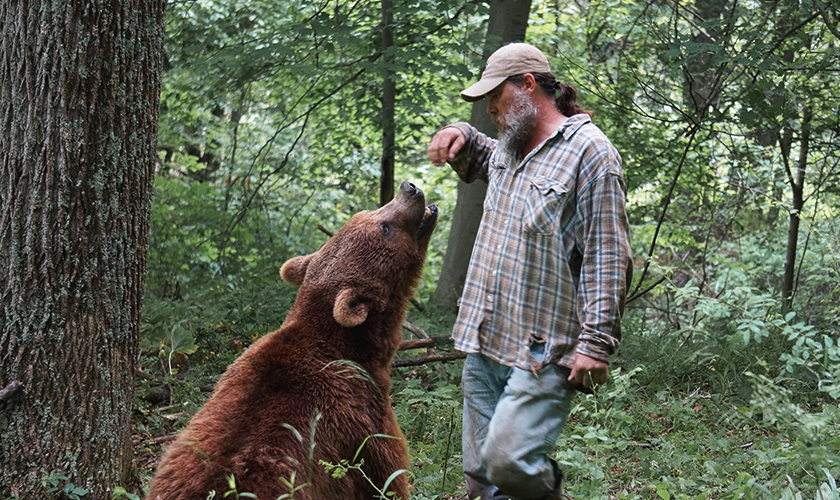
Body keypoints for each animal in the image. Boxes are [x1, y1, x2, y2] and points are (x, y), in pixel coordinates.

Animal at [146, 183, 440, 500]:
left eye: (368, 211)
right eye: (384, 227)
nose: (410, 189)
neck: (360, 350)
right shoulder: (364, 423)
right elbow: (386, 476)